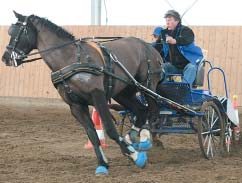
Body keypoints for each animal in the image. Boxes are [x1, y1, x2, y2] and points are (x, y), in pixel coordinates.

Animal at [1, 11, 163, 174]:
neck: (70, 59)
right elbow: (92, 134)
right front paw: (103, 164)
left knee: (153, 112)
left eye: (17, 32)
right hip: (123, 93)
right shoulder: (76, 106)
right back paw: (132, 139)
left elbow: (109, 128)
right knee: (141, 111)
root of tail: (149, 47)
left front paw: (135, 156)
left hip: (147, 85)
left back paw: (144, 141)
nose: (6, 58)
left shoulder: (98, 96)